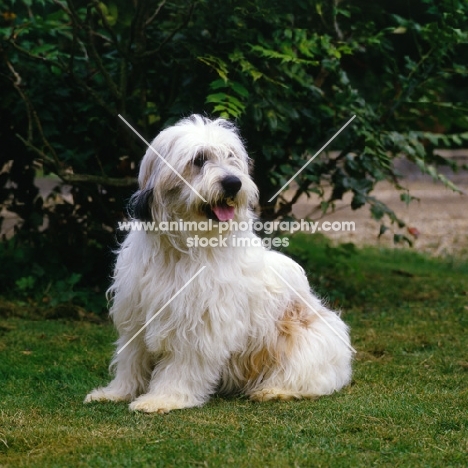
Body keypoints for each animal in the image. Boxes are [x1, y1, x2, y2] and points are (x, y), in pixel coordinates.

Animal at [86, 114, 352, 414]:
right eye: (199, 159)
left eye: (231, 157)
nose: (233, 183)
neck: (185, 247)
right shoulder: (136, 314)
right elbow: (131, 359)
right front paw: (117, 392)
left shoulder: (200, 323)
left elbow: (182, 367)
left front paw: (164, 398)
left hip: (307, 341)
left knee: (309, 376)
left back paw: (275, 390)